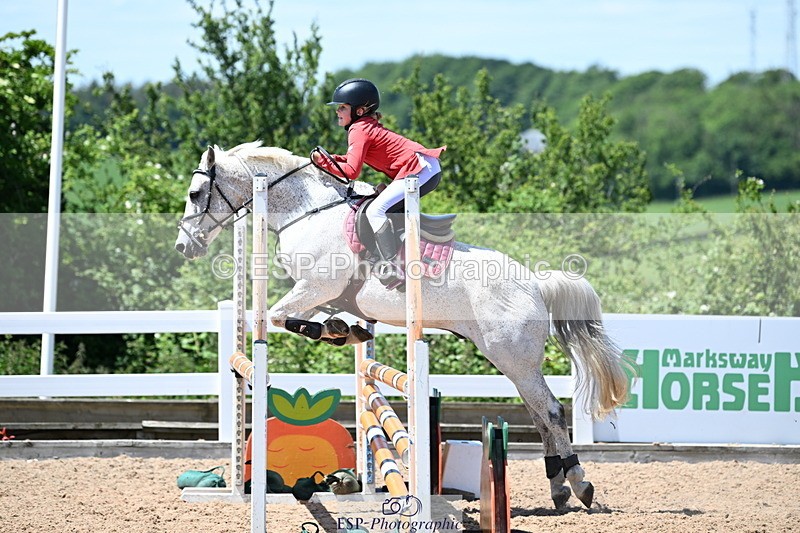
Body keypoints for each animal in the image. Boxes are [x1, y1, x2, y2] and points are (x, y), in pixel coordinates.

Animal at [175, 141, 631, 509]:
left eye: (196, 194)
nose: (184, 247)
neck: (306, 213)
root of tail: (534, 281)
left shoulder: (317, 285)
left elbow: (276, 315)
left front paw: (329, 331)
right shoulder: (325, 293)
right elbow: (310, 316)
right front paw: (343, 330)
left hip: (514, 358)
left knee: (550, 411)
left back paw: (579, 484)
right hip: (513, 362)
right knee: (539, 414)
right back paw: (558, 488)